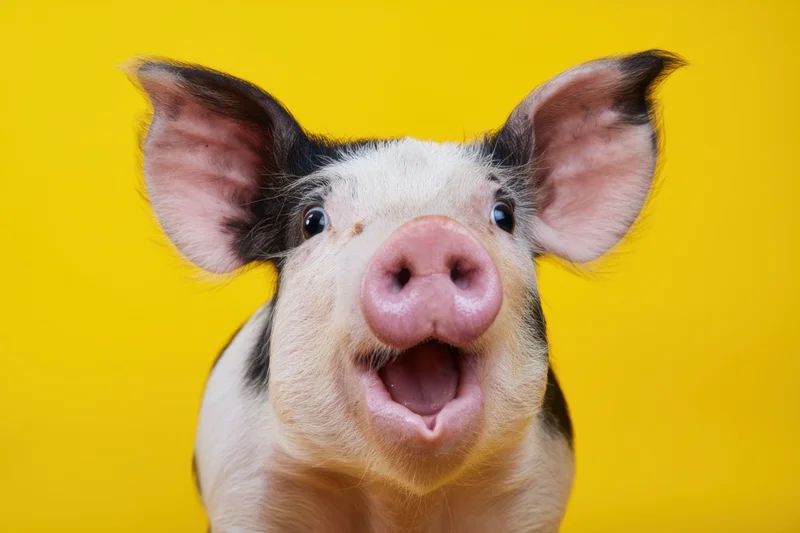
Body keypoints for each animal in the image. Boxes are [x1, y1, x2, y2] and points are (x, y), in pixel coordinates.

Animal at [126, 49, 682, 533]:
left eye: (503, 214)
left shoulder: (536, 490)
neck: (404, 500)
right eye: (312, 220)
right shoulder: (243, 488)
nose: (428, 233)